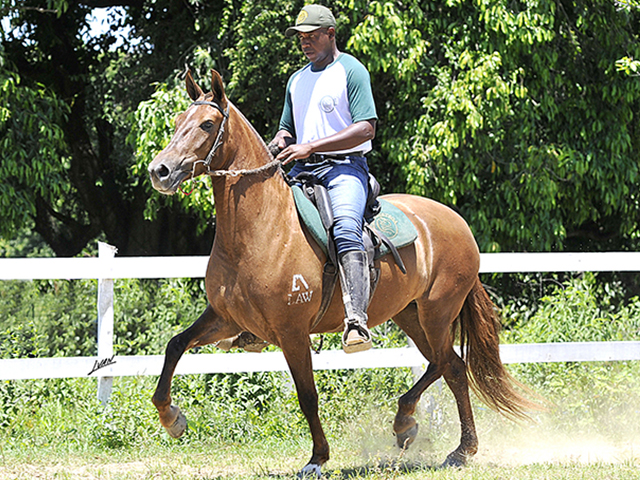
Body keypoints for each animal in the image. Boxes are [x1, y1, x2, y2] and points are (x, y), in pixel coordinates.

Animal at [148, 70, 532, 476]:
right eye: (177, 121)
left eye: (207, 124)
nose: (160, 170)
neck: (263, 228)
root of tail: (458, 223)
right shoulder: (225, 319)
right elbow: (175, 345)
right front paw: (172, 419)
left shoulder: (292, 332)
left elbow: (307, 395)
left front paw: (317, 458)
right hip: (410, 315)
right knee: (444, 365)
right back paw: (416, 428)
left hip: (438, 313)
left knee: (453, 368)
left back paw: (453, 445)